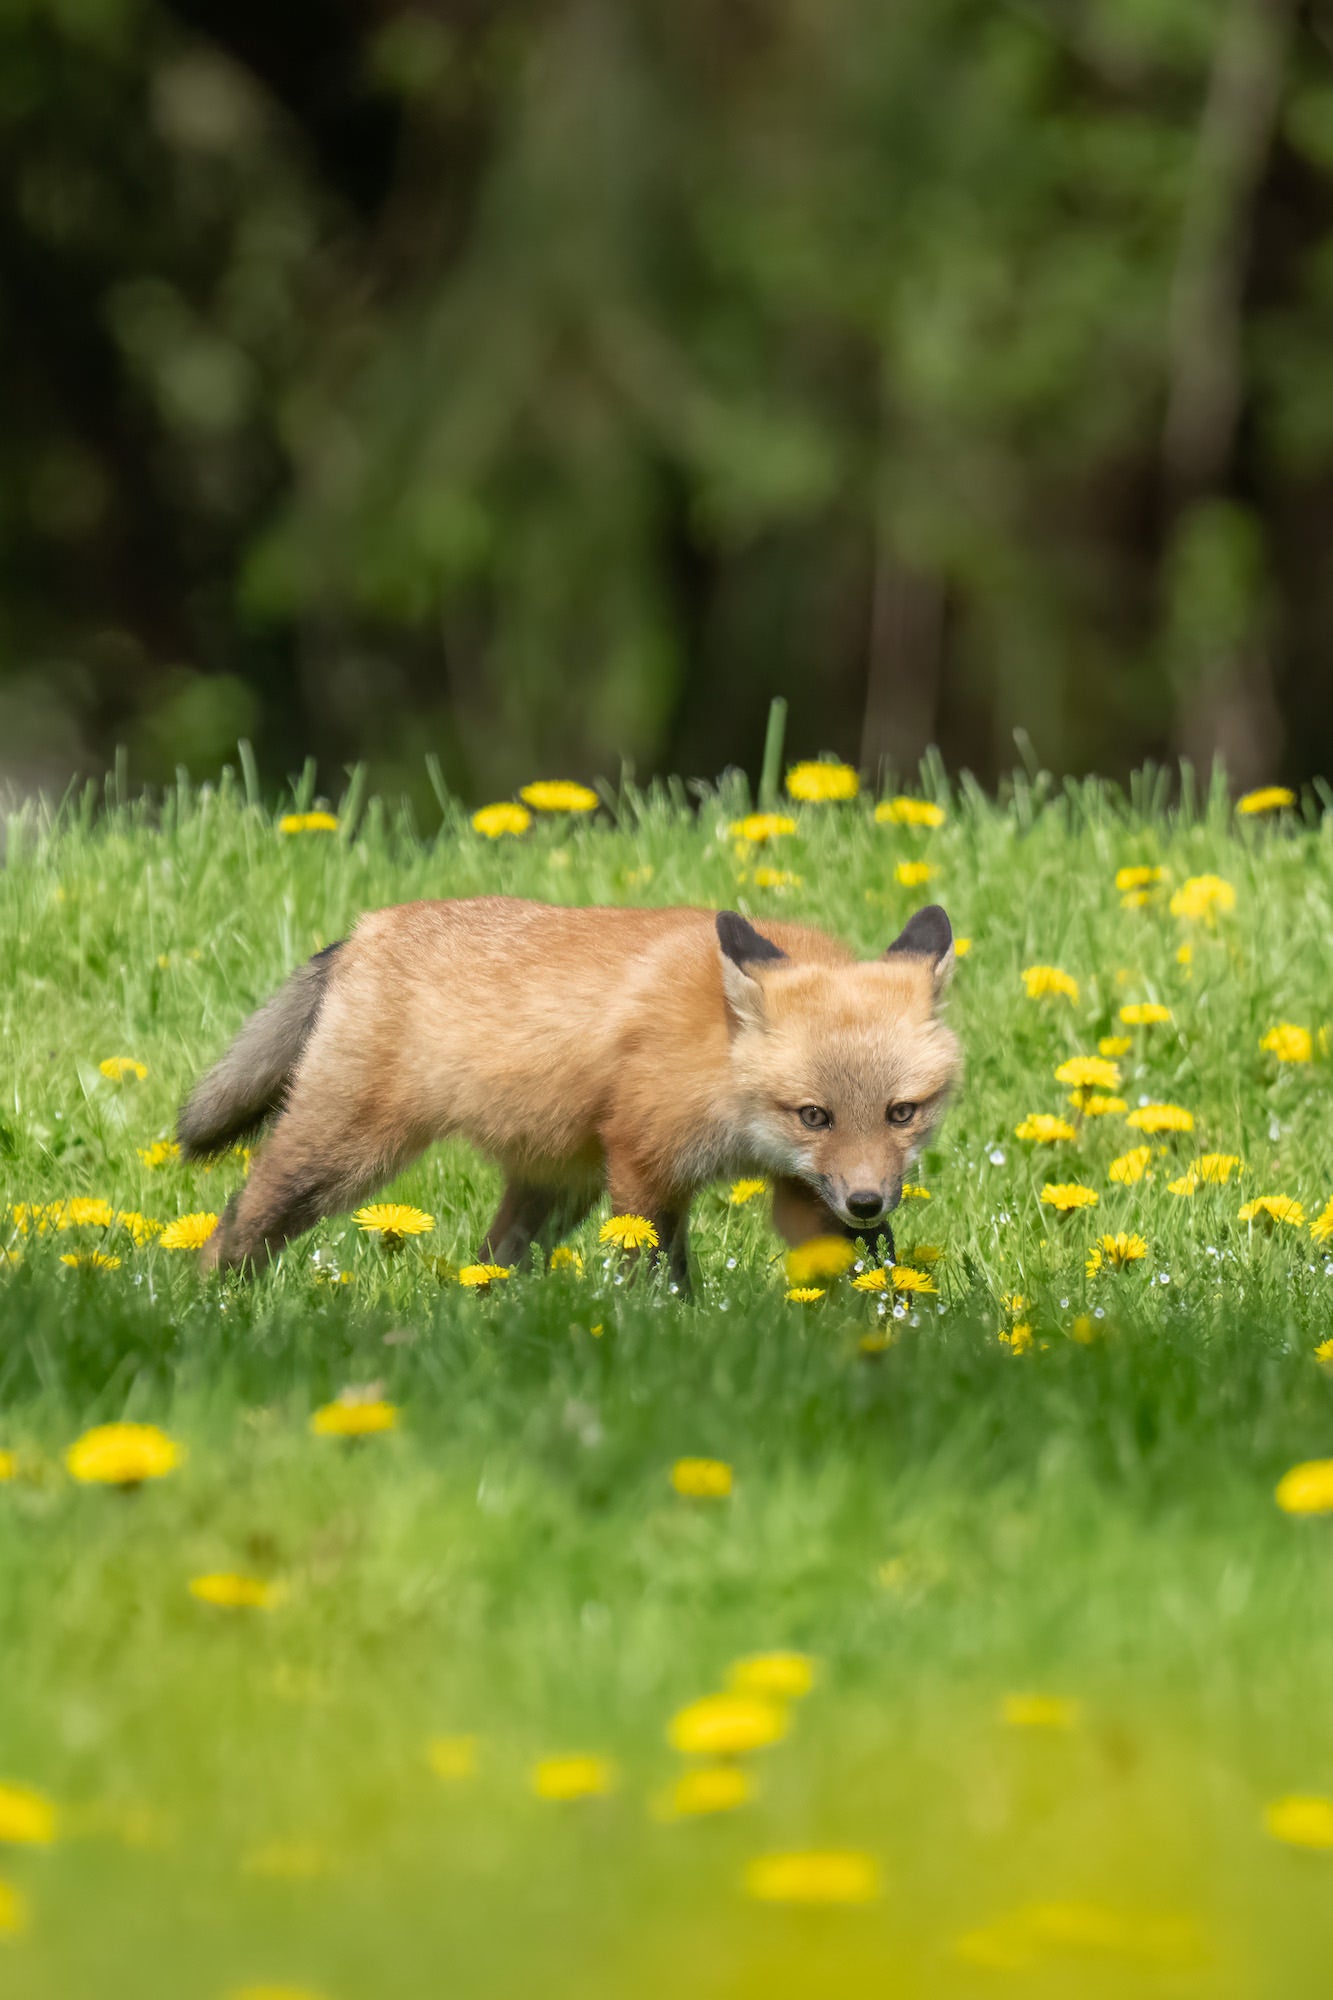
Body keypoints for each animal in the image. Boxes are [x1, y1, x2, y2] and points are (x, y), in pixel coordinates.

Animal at [177, 898, 961, 1283]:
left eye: (901, 1112)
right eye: (813, 1115)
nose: (868, 1202)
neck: (720, 1062)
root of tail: (365, 928)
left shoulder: (802, 1189)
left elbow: (852, 1267)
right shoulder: (644, 1161)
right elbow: (656, 1275)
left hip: (556, 1189)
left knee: (486, 1263)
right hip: (342, 1154)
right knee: (238, 1223)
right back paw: (212, 1307)